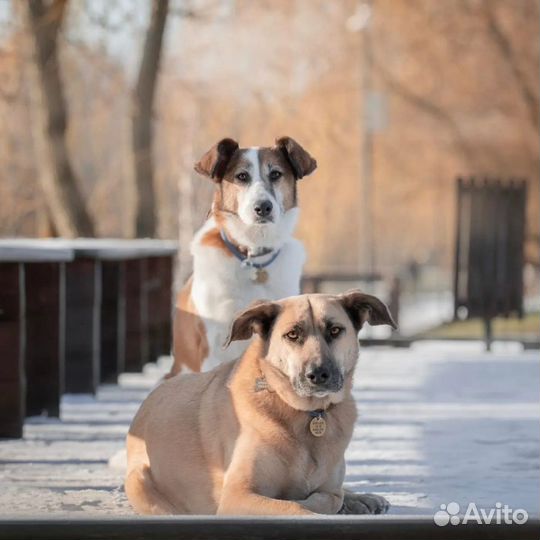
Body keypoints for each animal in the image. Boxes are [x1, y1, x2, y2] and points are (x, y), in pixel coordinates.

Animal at [126, 292, 396, 516]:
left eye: (335, 330)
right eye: (292, 334)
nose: (318, 374)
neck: (306, 413)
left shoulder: (328, 487)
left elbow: (329, 496)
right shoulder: (237, 496)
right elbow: (300, 507)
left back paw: (363, 499)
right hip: (140, 482)